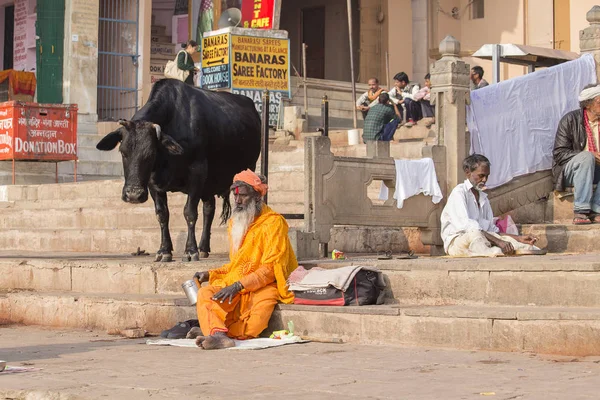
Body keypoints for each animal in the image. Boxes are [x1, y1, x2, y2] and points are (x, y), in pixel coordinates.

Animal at [95, 79, 260, 260]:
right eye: (122, 151)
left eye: (151, 154)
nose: (133, 195)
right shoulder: (154, 183)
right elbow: (162, 214)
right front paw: (164, 251)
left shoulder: (197, 172)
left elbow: (189, 212)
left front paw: (190, 250)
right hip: (209, 183)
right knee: (209, 209)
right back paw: (204, 247)